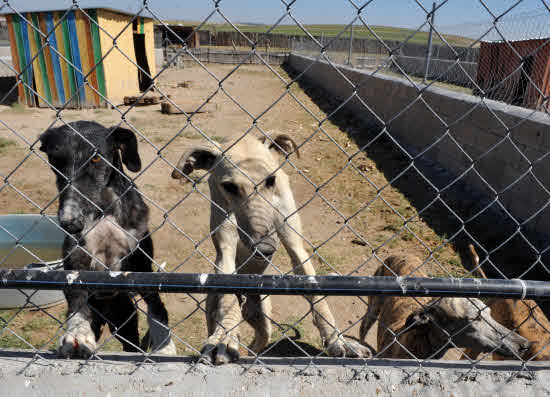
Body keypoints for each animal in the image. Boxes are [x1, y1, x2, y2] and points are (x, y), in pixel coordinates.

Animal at [38, 120, 176, 356]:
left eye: (96, 158)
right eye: (55, 159)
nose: (70, 223)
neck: (103, 211)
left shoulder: (141, 265)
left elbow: (156, 306)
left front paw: (164, 346)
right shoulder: (75, 261)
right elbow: (76, 300)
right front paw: (76, 334)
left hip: (125, 320)